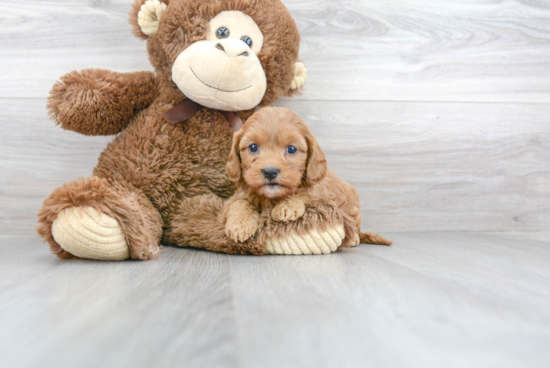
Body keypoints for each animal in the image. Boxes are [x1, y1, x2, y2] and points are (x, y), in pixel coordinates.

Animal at [223, 106, 392, 253]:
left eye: (291, 149)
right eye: (253, 147)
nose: (270, 172)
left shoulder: (320, 193)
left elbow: (305, 193)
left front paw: (287, 205)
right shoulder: (237, 196)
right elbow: (240, 203)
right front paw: (240, 224)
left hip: (353, 207)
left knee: (355, 228)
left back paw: (354, 239)